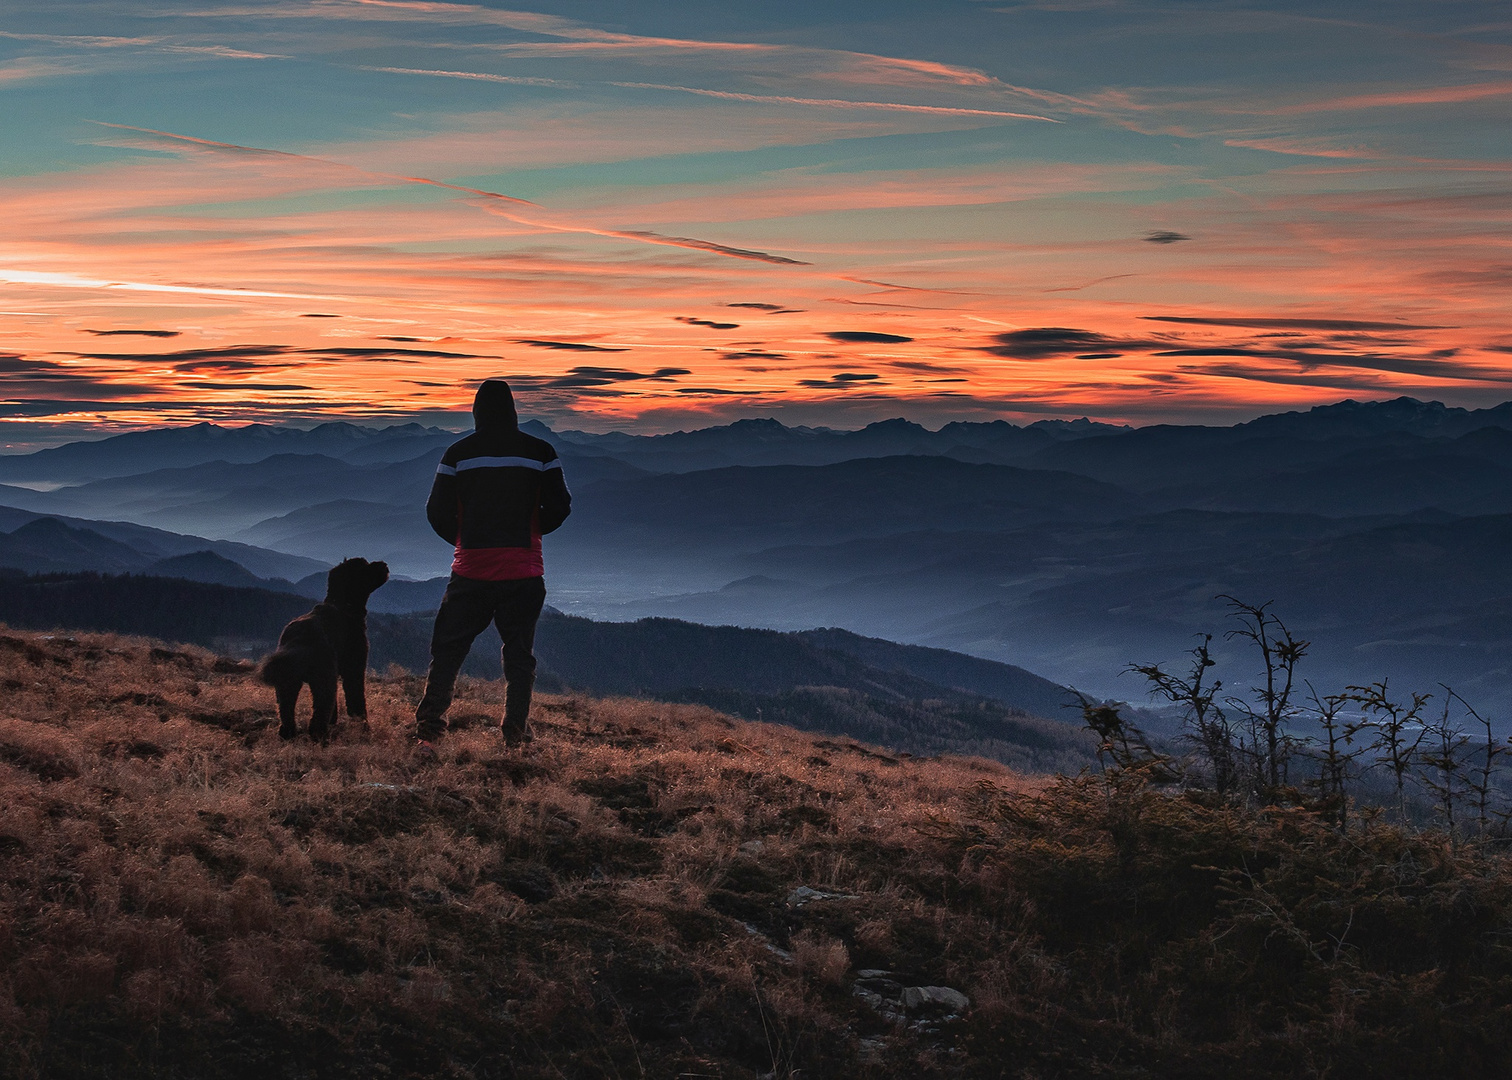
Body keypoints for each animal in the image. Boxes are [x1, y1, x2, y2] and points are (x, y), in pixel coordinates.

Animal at [257, 556, 384, 741]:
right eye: (365, 566)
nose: (384, 565)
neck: (344, 605)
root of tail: (299, 637)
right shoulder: (354, 668)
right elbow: (356, 699)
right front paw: (364, 727)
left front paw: (334, 721)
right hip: (323, 679)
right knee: (318, 715)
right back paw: (322, 737)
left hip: (287, 680)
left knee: (286, 710)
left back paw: (288, 734)